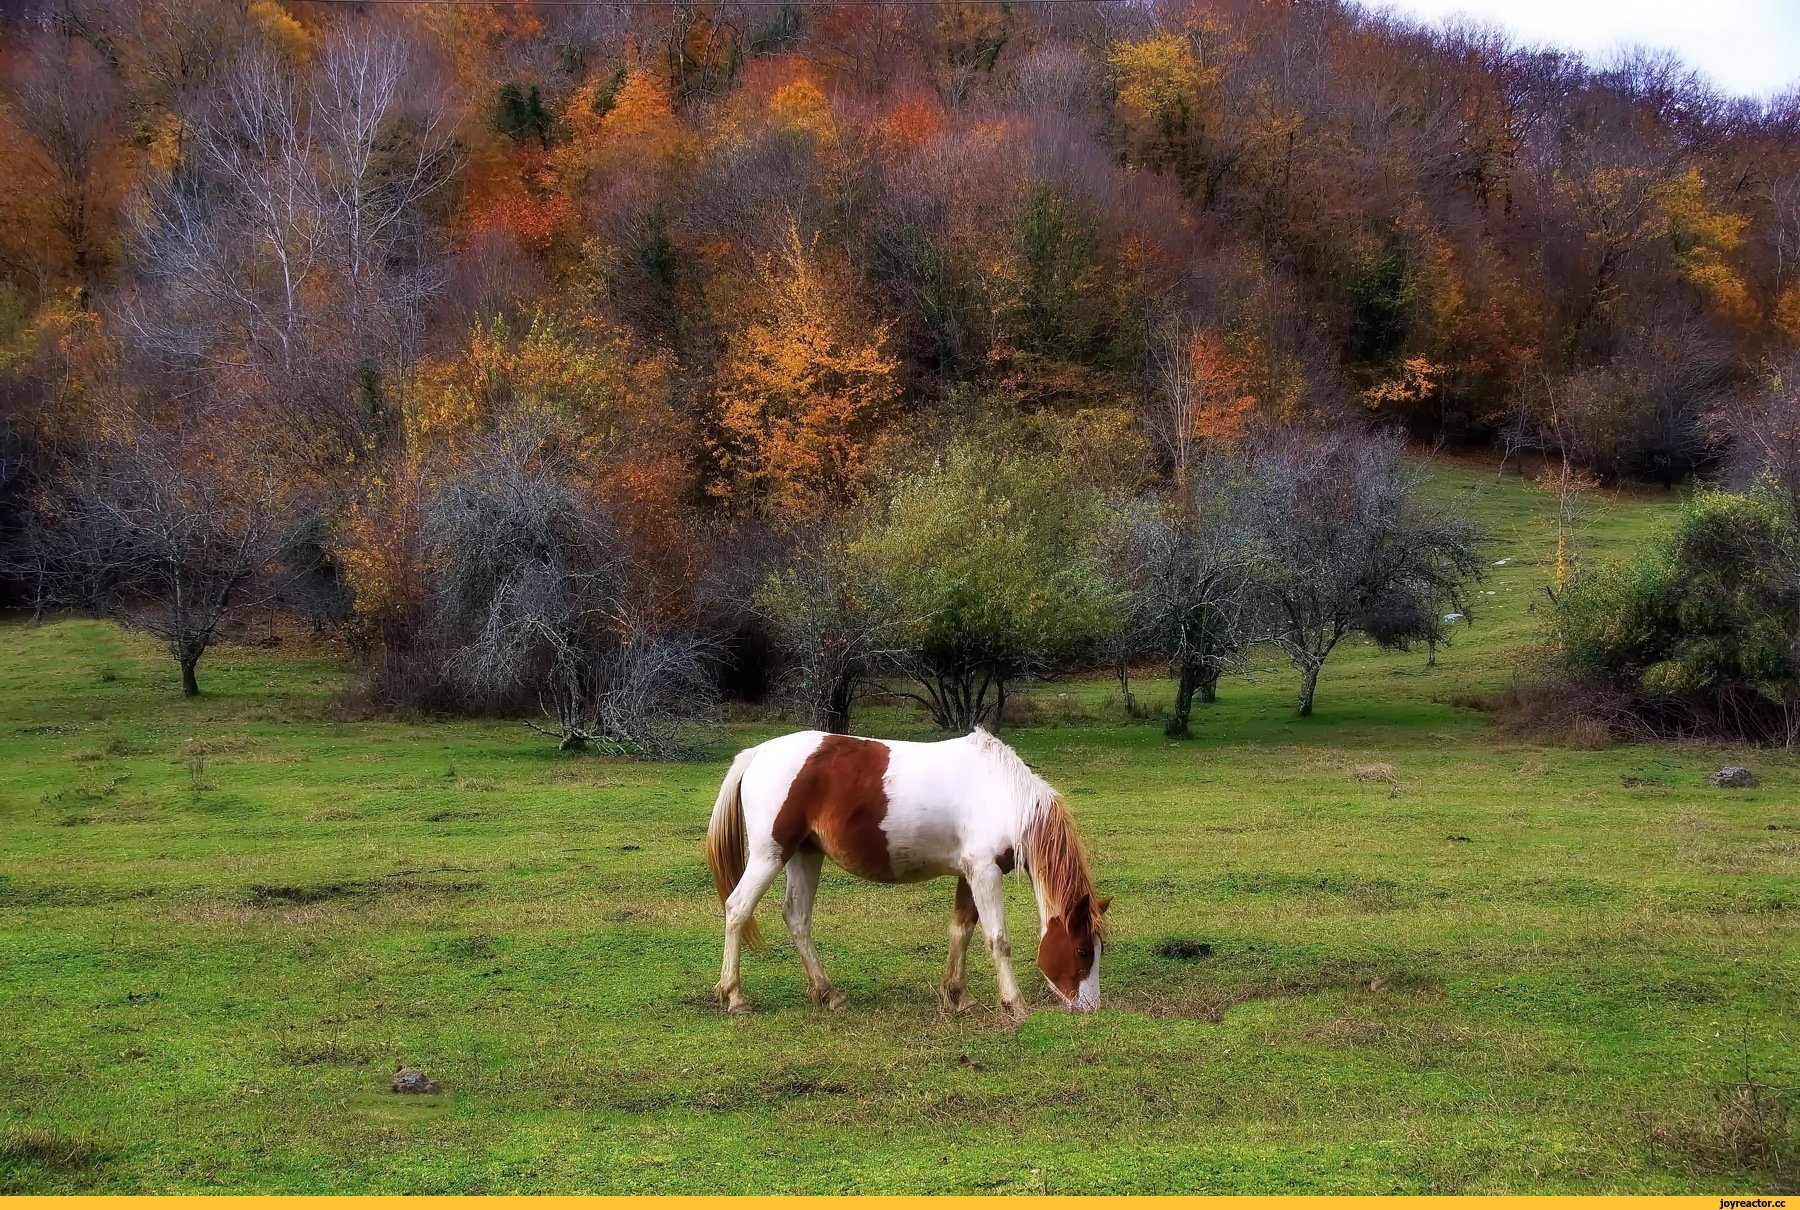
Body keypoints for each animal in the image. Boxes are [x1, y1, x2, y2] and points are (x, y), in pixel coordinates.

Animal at [705, 727, 1108, 1022]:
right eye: (1082, 950)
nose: (1091, 1008)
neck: (1003, 795)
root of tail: (758, 752)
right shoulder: (985, 871)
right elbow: (997, 940)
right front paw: (1014, 1004)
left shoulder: (969, 873)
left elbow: (961, 931)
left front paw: (959, 997)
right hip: (769, 855)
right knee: (738, 908)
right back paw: (735, 996)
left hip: (804, 855)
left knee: (797, 918)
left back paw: (827, 993)